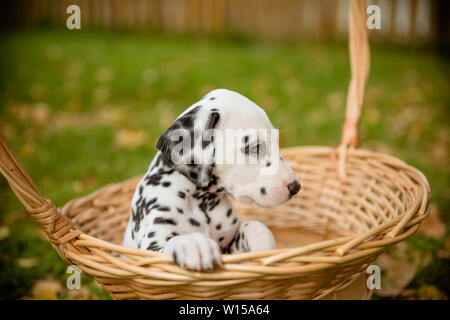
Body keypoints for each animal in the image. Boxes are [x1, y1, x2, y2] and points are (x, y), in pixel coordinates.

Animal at [121, 88, 300, 270]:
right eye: (255, 147)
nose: (295, 187)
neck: (202, 202)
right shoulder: (151, 246)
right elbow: (172, 243)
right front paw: (192, 244)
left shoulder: (229, 245)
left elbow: (258, 228)